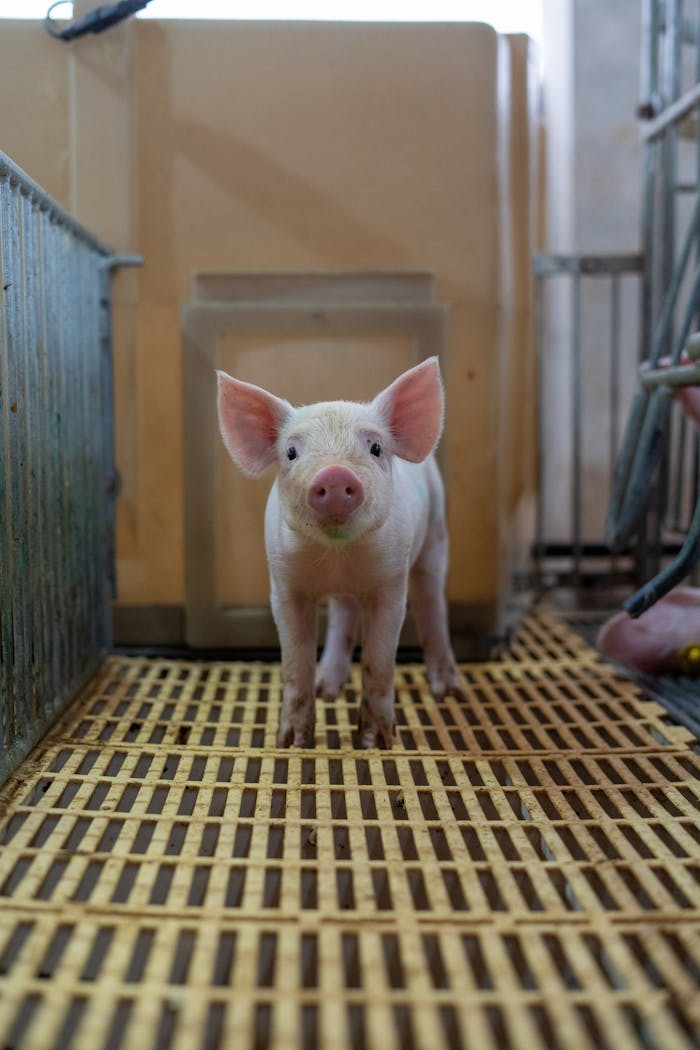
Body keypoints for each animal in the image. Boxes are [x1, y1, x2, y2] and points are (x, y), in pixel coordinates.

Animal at [217, 356, 465, 748]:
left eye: (375, 448)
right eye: (291, 452)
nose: (334, 475)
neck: (338, 557)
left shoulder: (391, 584)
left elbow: (379, 662)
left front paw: (376, 744)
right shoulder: (284, 585)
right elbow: (295, 663)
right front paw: (292, 743)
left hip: (437, 536)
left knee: (432, 606)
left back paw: (449, 692)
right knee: (343, 614)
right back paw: (327, 688)